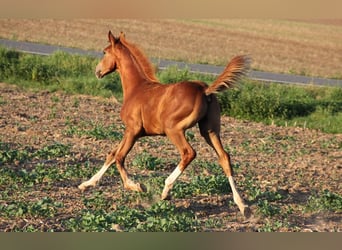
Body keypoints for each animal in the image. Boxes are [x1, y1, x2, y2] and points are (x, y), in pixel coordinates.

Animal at [79, 31, 251, 218]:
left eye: (104, 52)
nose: (97, 71)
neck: (136, 88)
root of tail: (205, 90)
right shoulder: (131, 132)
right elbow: (112, 154)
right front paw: (86, 184)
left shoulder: (132, 130)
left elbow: (119, 157)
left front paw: (137, 186)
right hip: (210, 130)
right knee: (224, 158)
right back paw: (243, 205)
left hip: (173, 129)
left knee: (188, 153)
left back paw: (166, 190)